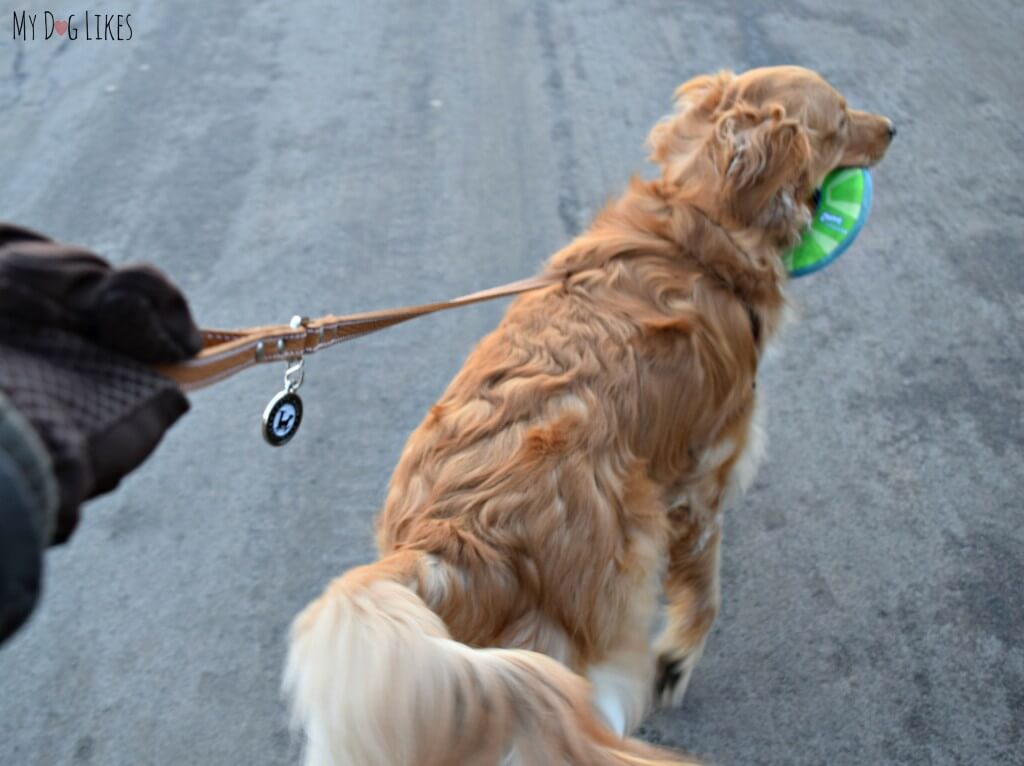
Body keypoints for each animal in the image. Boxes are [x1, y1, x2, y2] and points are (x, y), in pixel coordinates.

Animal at [284, 67, 892, 766]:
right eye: (840, 122)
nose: (893, 128)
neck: (696, 226)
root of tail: (444, 539)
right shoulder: (703, 479)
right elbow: (705, 592)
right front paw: (678, 659)